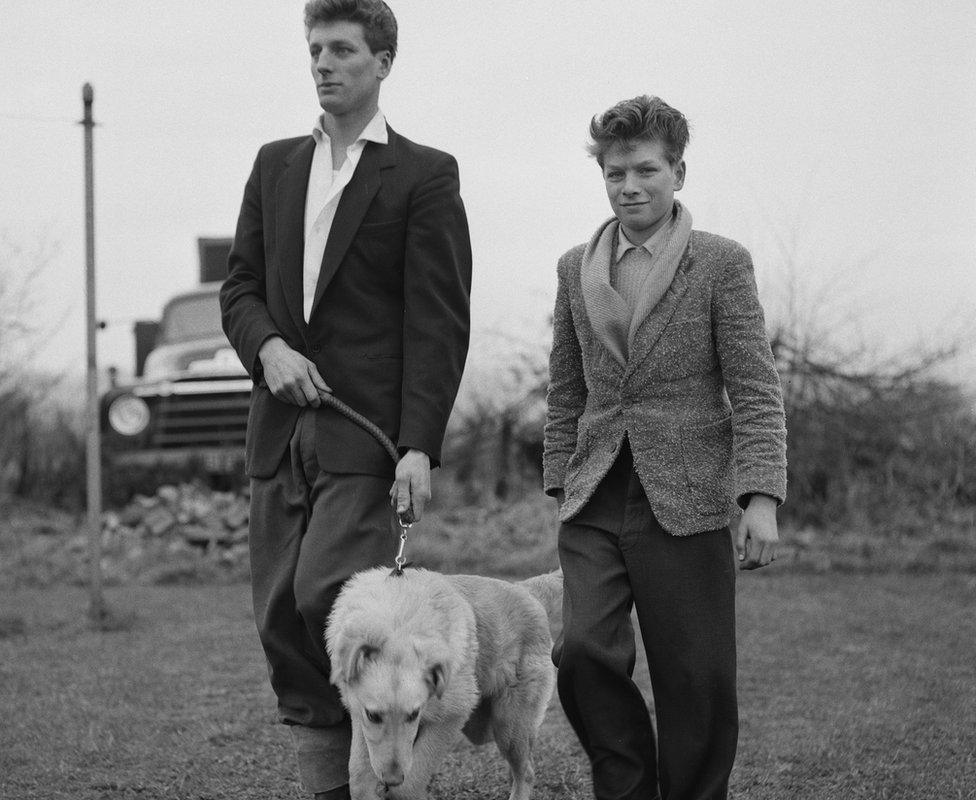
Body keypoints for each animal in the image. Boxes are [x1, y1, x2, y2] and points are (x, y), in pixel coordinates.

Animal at [326, 564, 560, 796]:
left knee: (526, 772)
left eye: (413, 715)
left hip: (508, 726)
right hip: (487, 728)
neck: (397, 625)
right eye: (373, 716)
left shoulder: (450, 717)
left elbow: (408, 787)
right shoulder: (359, 715)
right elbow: (359, 779)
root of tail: (528, 591)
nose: (392, 779)